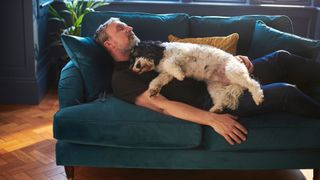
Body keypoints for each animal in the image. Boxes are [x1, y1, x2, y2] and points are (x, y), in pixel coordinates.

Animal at [129, 40, 264, 112]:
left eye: (138, 53)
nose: (136, 67)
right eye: (132, 60)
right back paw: (216, 109)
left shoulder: (181, 56)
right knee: (220, 99)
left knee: (253, 84)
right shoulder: (166, 74)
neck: (161, 54)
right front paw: (153, 90)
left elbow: (170, 63)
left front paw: (180, 75)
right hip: (214, 87)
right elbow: (157, 80)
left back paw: (258, 98)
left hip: (233, 71)